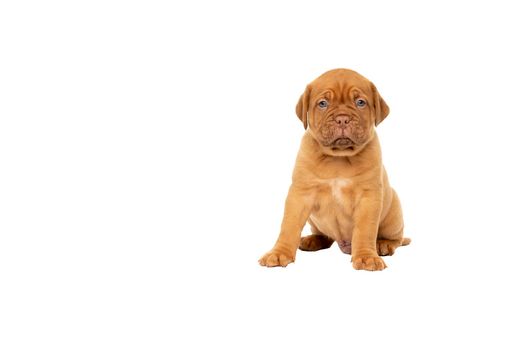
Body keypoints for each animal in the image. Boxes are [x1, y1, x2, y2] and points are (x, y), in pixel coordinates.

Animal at [258, 67, 410, 270]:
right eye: (323, 103)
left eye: (360, 102)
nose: (342, 119)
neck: (339, 158)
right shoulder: (300, 194)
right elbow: (288, 226)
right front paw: (279, 253)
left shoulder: (368, 198)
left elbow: (365, 230)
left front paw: (366, 257)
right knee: (324, 236)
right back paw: (312, 240)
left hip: (394, 210)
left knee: (396, 238)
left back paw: (383, 244)